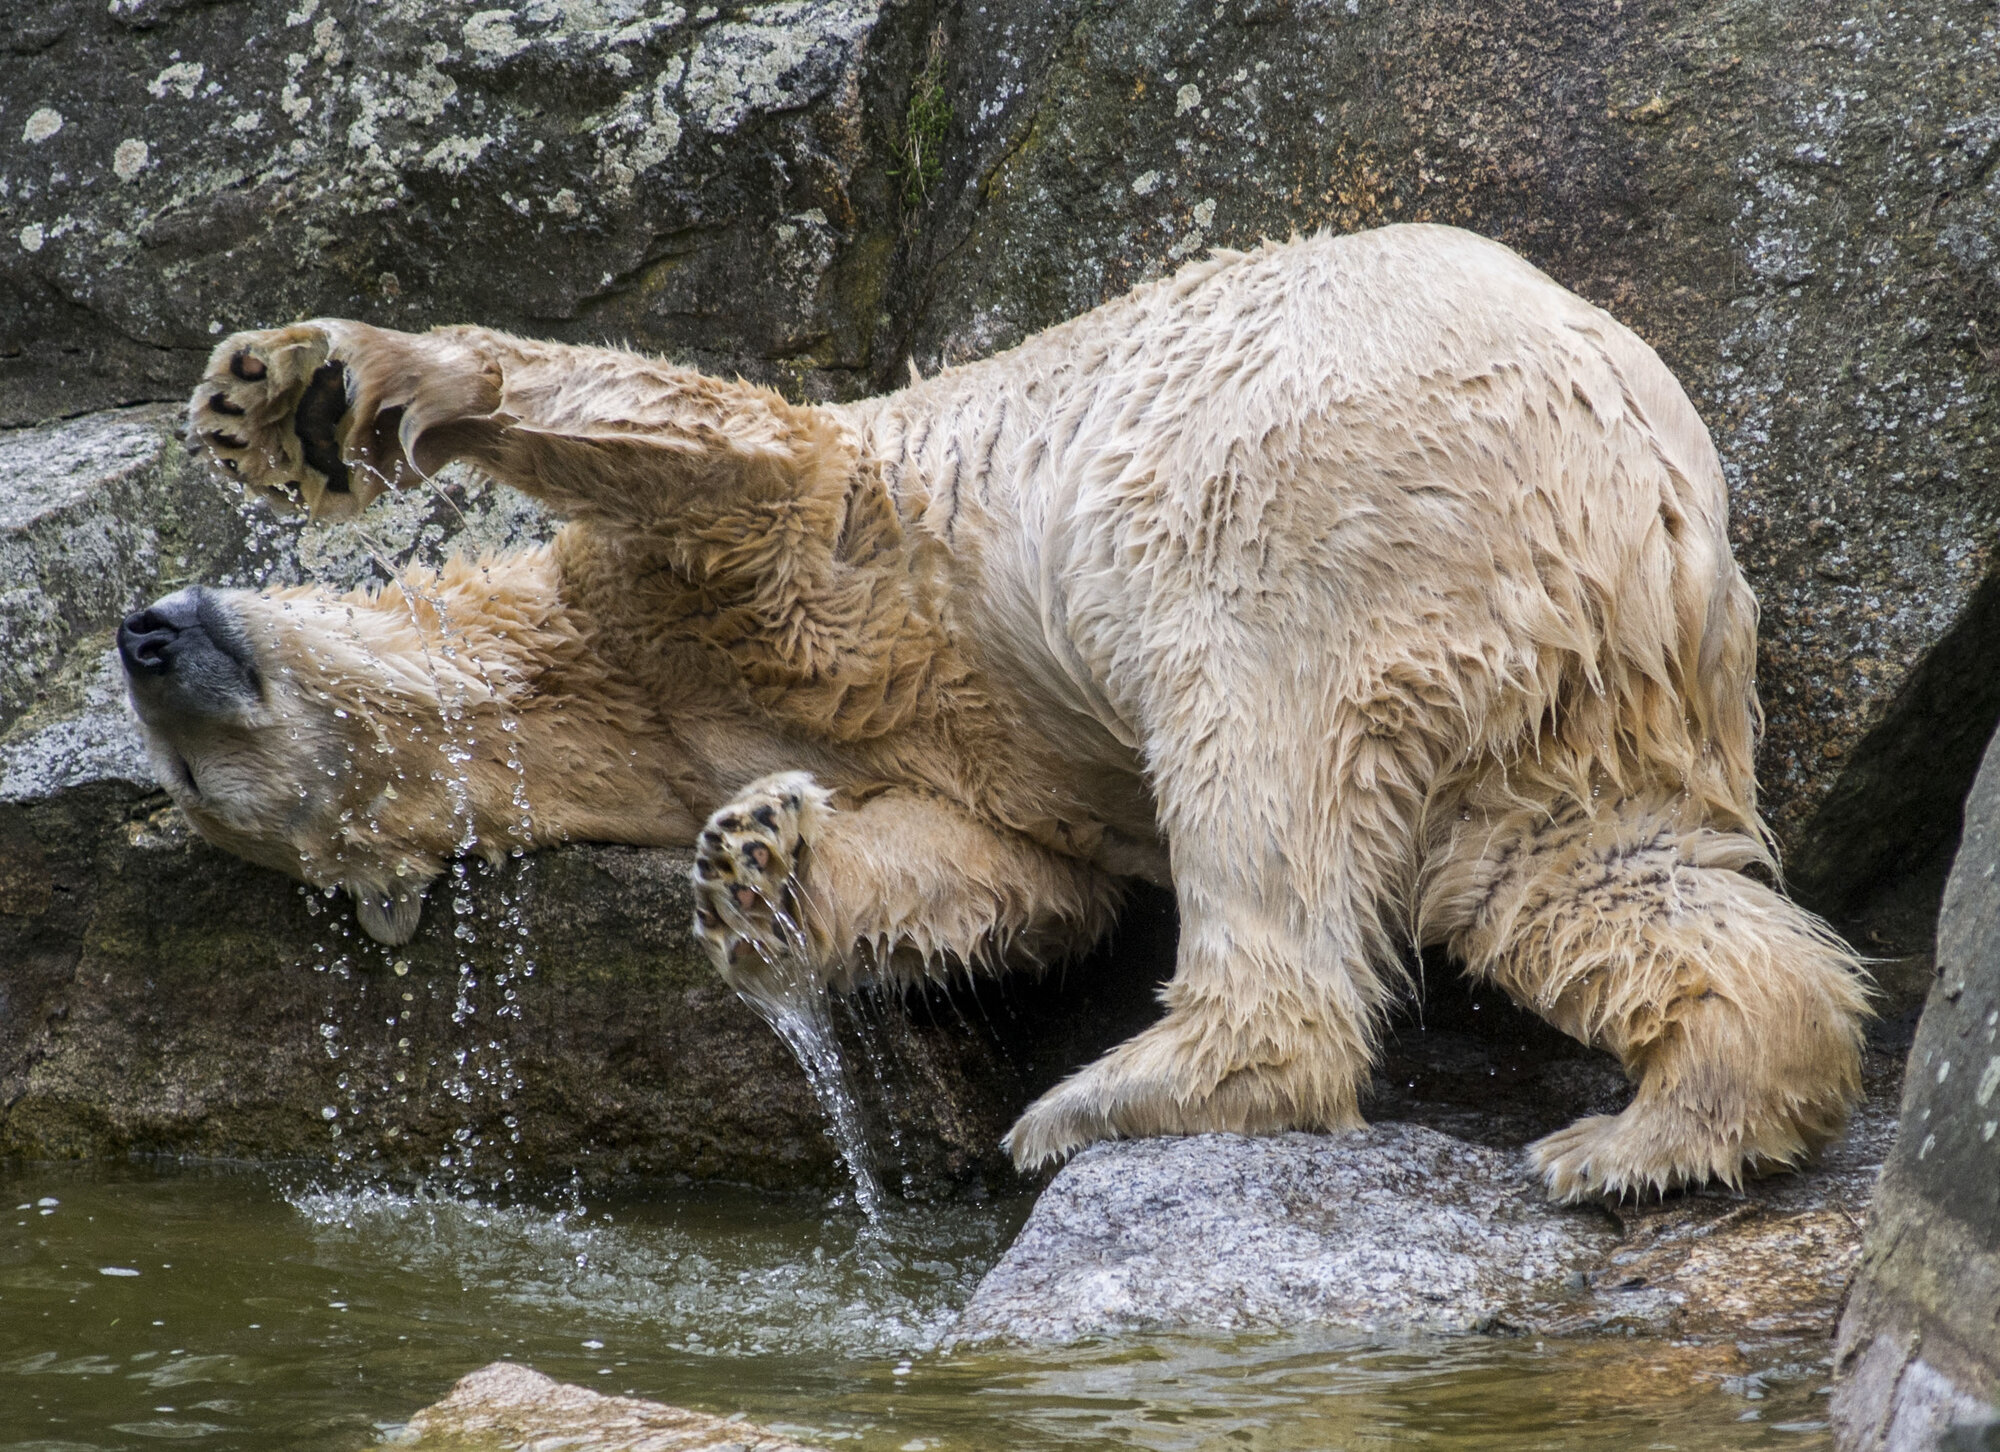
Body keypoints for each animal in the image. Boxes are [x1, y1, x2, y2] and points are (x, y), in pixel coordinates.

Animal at [124, 223, 1870, 1202]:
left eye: (193, 763)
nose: (144, 635)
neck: (605, 695)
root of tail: (1654, 488)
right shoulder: (789, 728)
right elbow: (1005, 875)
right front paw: (759, 869)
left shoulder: (758, 551)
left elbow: (727, 450)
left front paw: (305, 392)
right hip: (1566, 664)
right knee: (1571, 870)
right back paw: (1649, 1136)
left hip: (1326, 484)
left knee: (1253, 727)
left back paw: (1116, 1094)